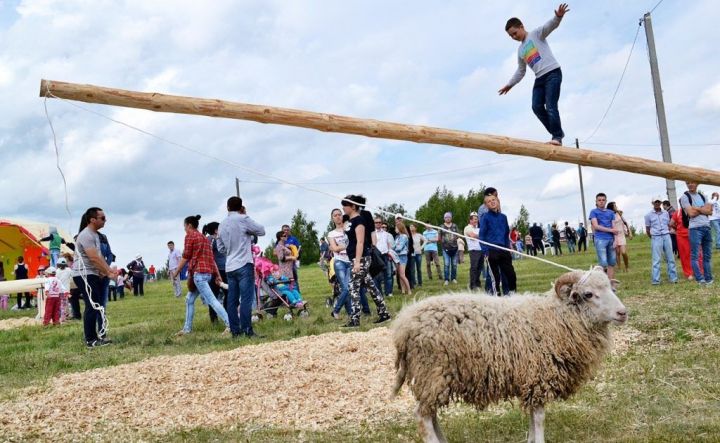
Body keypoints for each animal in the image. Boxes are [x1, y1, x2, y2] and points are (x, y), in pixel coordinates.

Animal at [390, 268, 628, 443]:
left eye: (611, 288)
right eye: (588, 294)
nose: (623, 313)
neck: (558, 317)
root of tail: (404, 324)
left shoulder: (531, 380)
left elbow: (532, 416)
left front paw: (531, 439)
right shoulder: (538, 375)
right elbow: (539, 417)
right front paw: (538, 440)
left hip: (435, 379)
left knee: (431, 414)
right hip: (433, 372)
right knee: (423, 417)